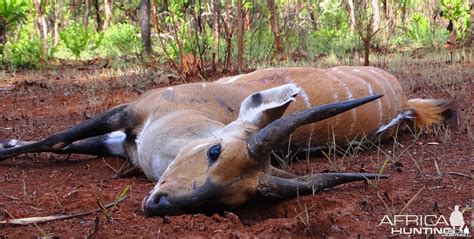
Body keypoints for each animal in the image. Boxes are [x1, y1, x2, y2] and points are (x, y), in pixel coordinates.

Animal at [0, 66, 452, 216]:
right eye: (214, 150)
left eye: (236, 200)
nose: (159, 205)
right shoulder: (127, 114)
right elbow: (59, 139)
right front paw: (6, 147)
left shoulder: (124, 136)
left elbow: (66, 142)